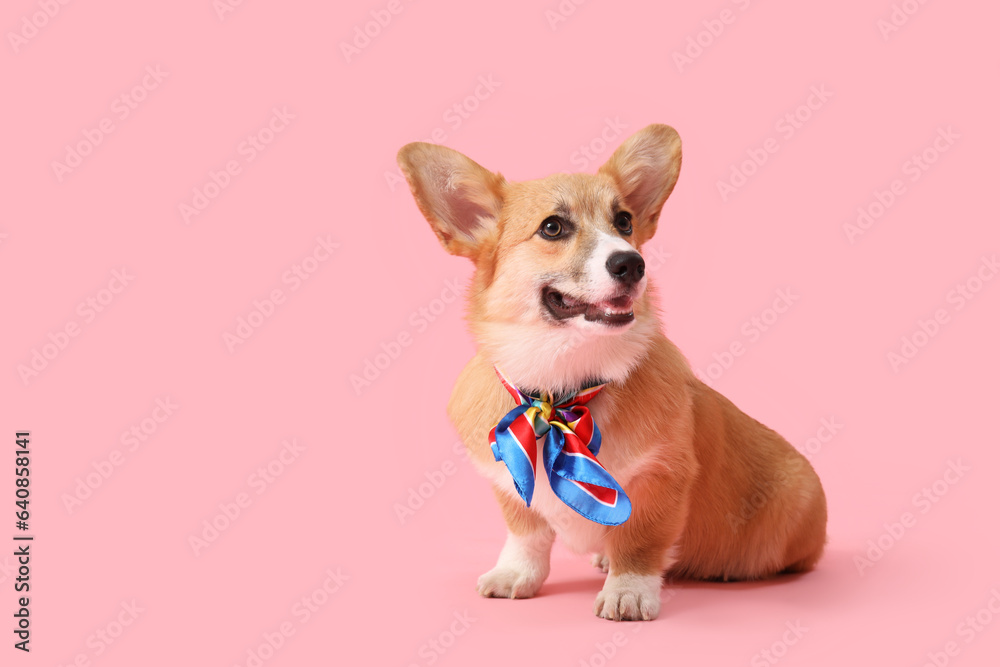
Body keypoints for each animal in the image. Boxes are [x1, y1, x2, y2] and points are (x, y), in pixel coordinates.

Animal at [398, 126, 828, 628]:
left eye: (624, 221)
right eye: (552, 227)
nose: (632, 263)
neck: (561, 392)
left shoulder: (661, 479)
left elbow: (639, 542)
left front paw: (628, 592)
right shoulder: (507, 485)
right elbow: (526, 534)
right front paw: (516, 575)